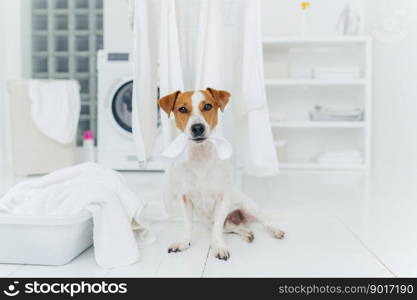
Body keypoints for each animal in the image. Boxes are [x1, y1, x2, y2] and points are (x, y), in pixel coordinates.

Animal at [158, 87, 284, 260]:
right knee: (232, 227)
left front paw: (218, 246)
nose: (197, 127)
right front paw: (184, 242)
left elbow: (217, 230)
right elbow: (188, 224)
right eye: (182, 109)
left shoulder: (222, 199)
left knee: (264, 221)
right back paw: (246, 233)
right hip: (213, 222)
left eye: (208, 106)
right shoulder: (185, 199)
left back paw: (274, 229)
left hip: (249, 206)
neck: (201, 157)